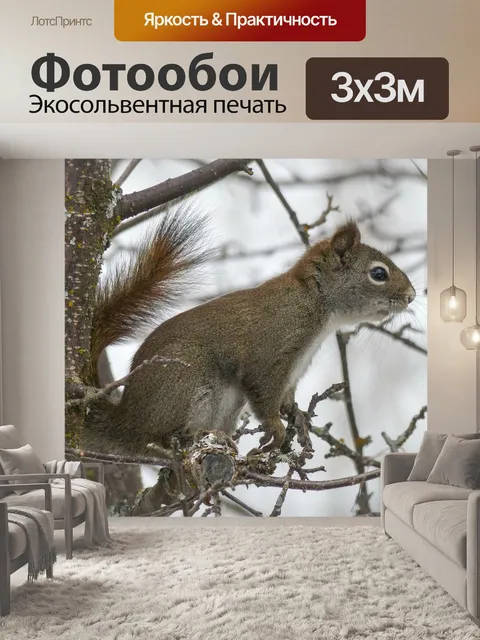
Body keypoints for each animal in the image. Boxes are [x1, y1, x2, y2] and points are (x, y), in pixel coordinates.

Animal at [86, 212, 416, 455]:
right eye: (378, 274)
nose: (412, 296)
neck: (314, 301)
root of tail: (127, 420)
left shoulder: (293, 370)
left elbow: (286, 398)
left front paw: (297, 415)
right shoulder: (270, 355)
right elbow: (263, 393)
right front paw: (277, 427)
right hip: (183, 378)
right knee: (157, 436)